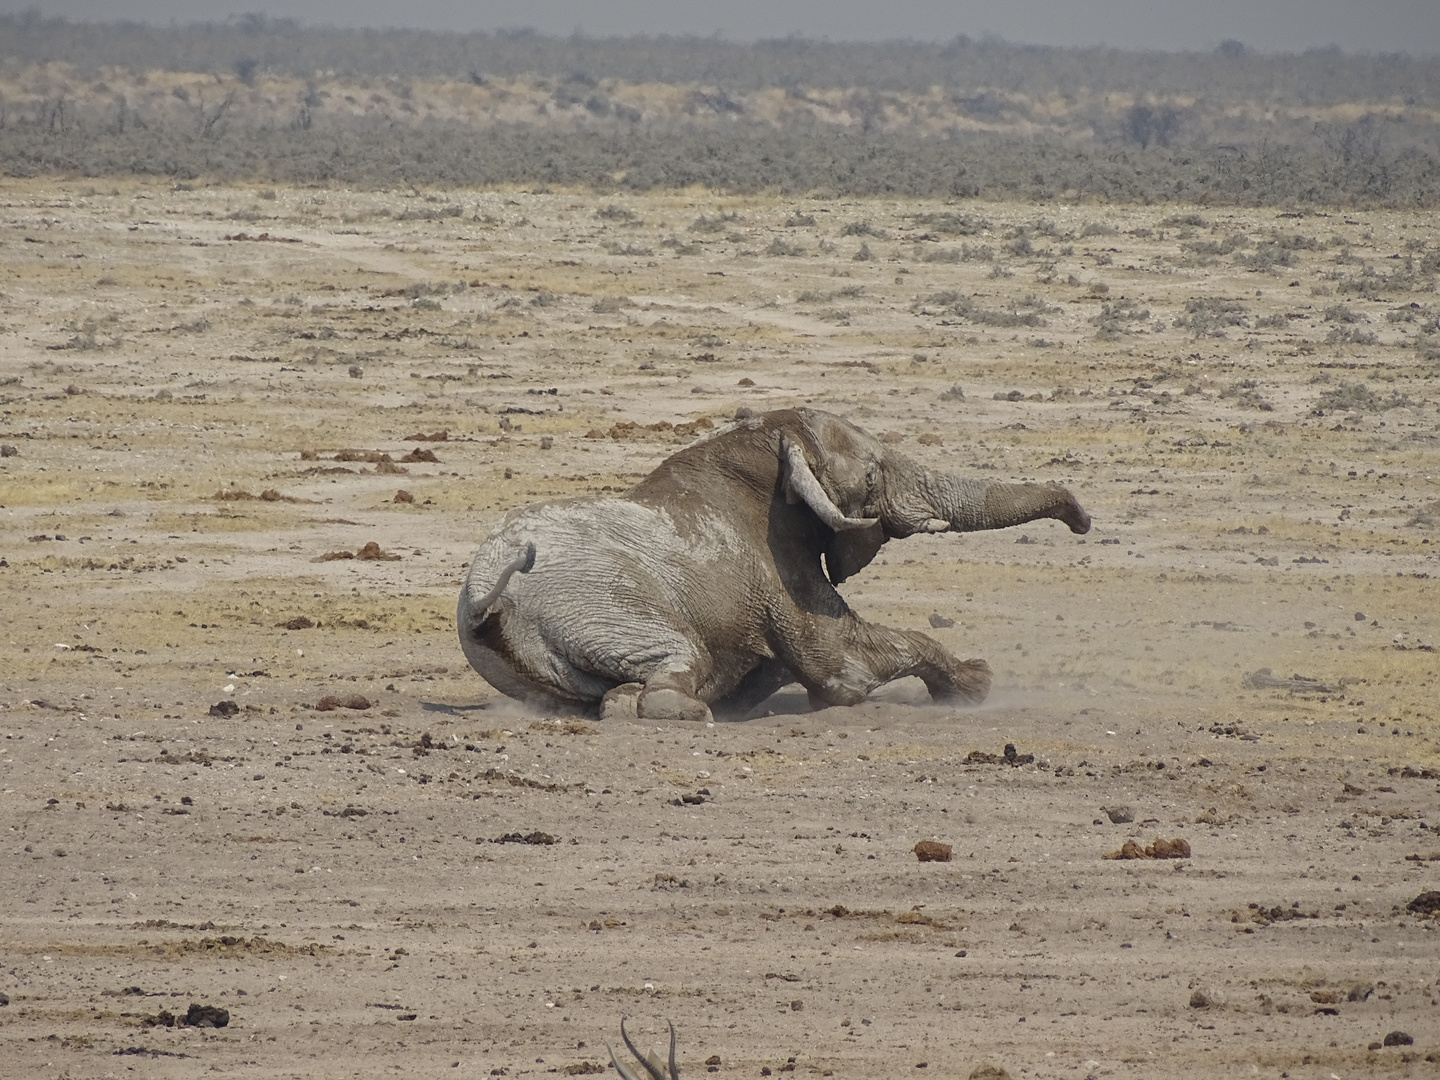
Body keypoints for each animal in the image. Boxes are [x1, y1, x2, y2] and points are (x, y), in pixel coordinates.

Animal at [460, 408, 1088, 722]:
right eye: (871, 477)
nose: (1082, 520)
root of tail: (486, 594)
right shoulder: (776, 568)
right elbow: (841, 668)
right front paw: (975, 684)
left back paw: (623, 701)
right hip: (602, 601)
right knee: (679, 657)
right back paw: (680, 709)